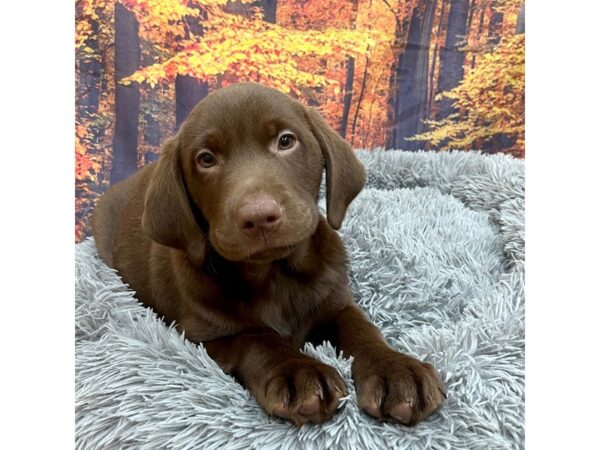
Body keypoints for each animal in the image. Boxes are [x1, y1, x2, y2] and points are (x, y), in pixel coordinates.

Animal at [90, 83, 446, 426]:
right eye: (206, 160)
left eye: (285, 141)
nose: (259, 216)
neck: (275, 274)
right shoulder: (199, 335)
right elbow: (256, 338)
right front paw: (297, 371)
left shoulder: (336, 301)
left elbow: (362, 328)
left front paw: (395, 368)